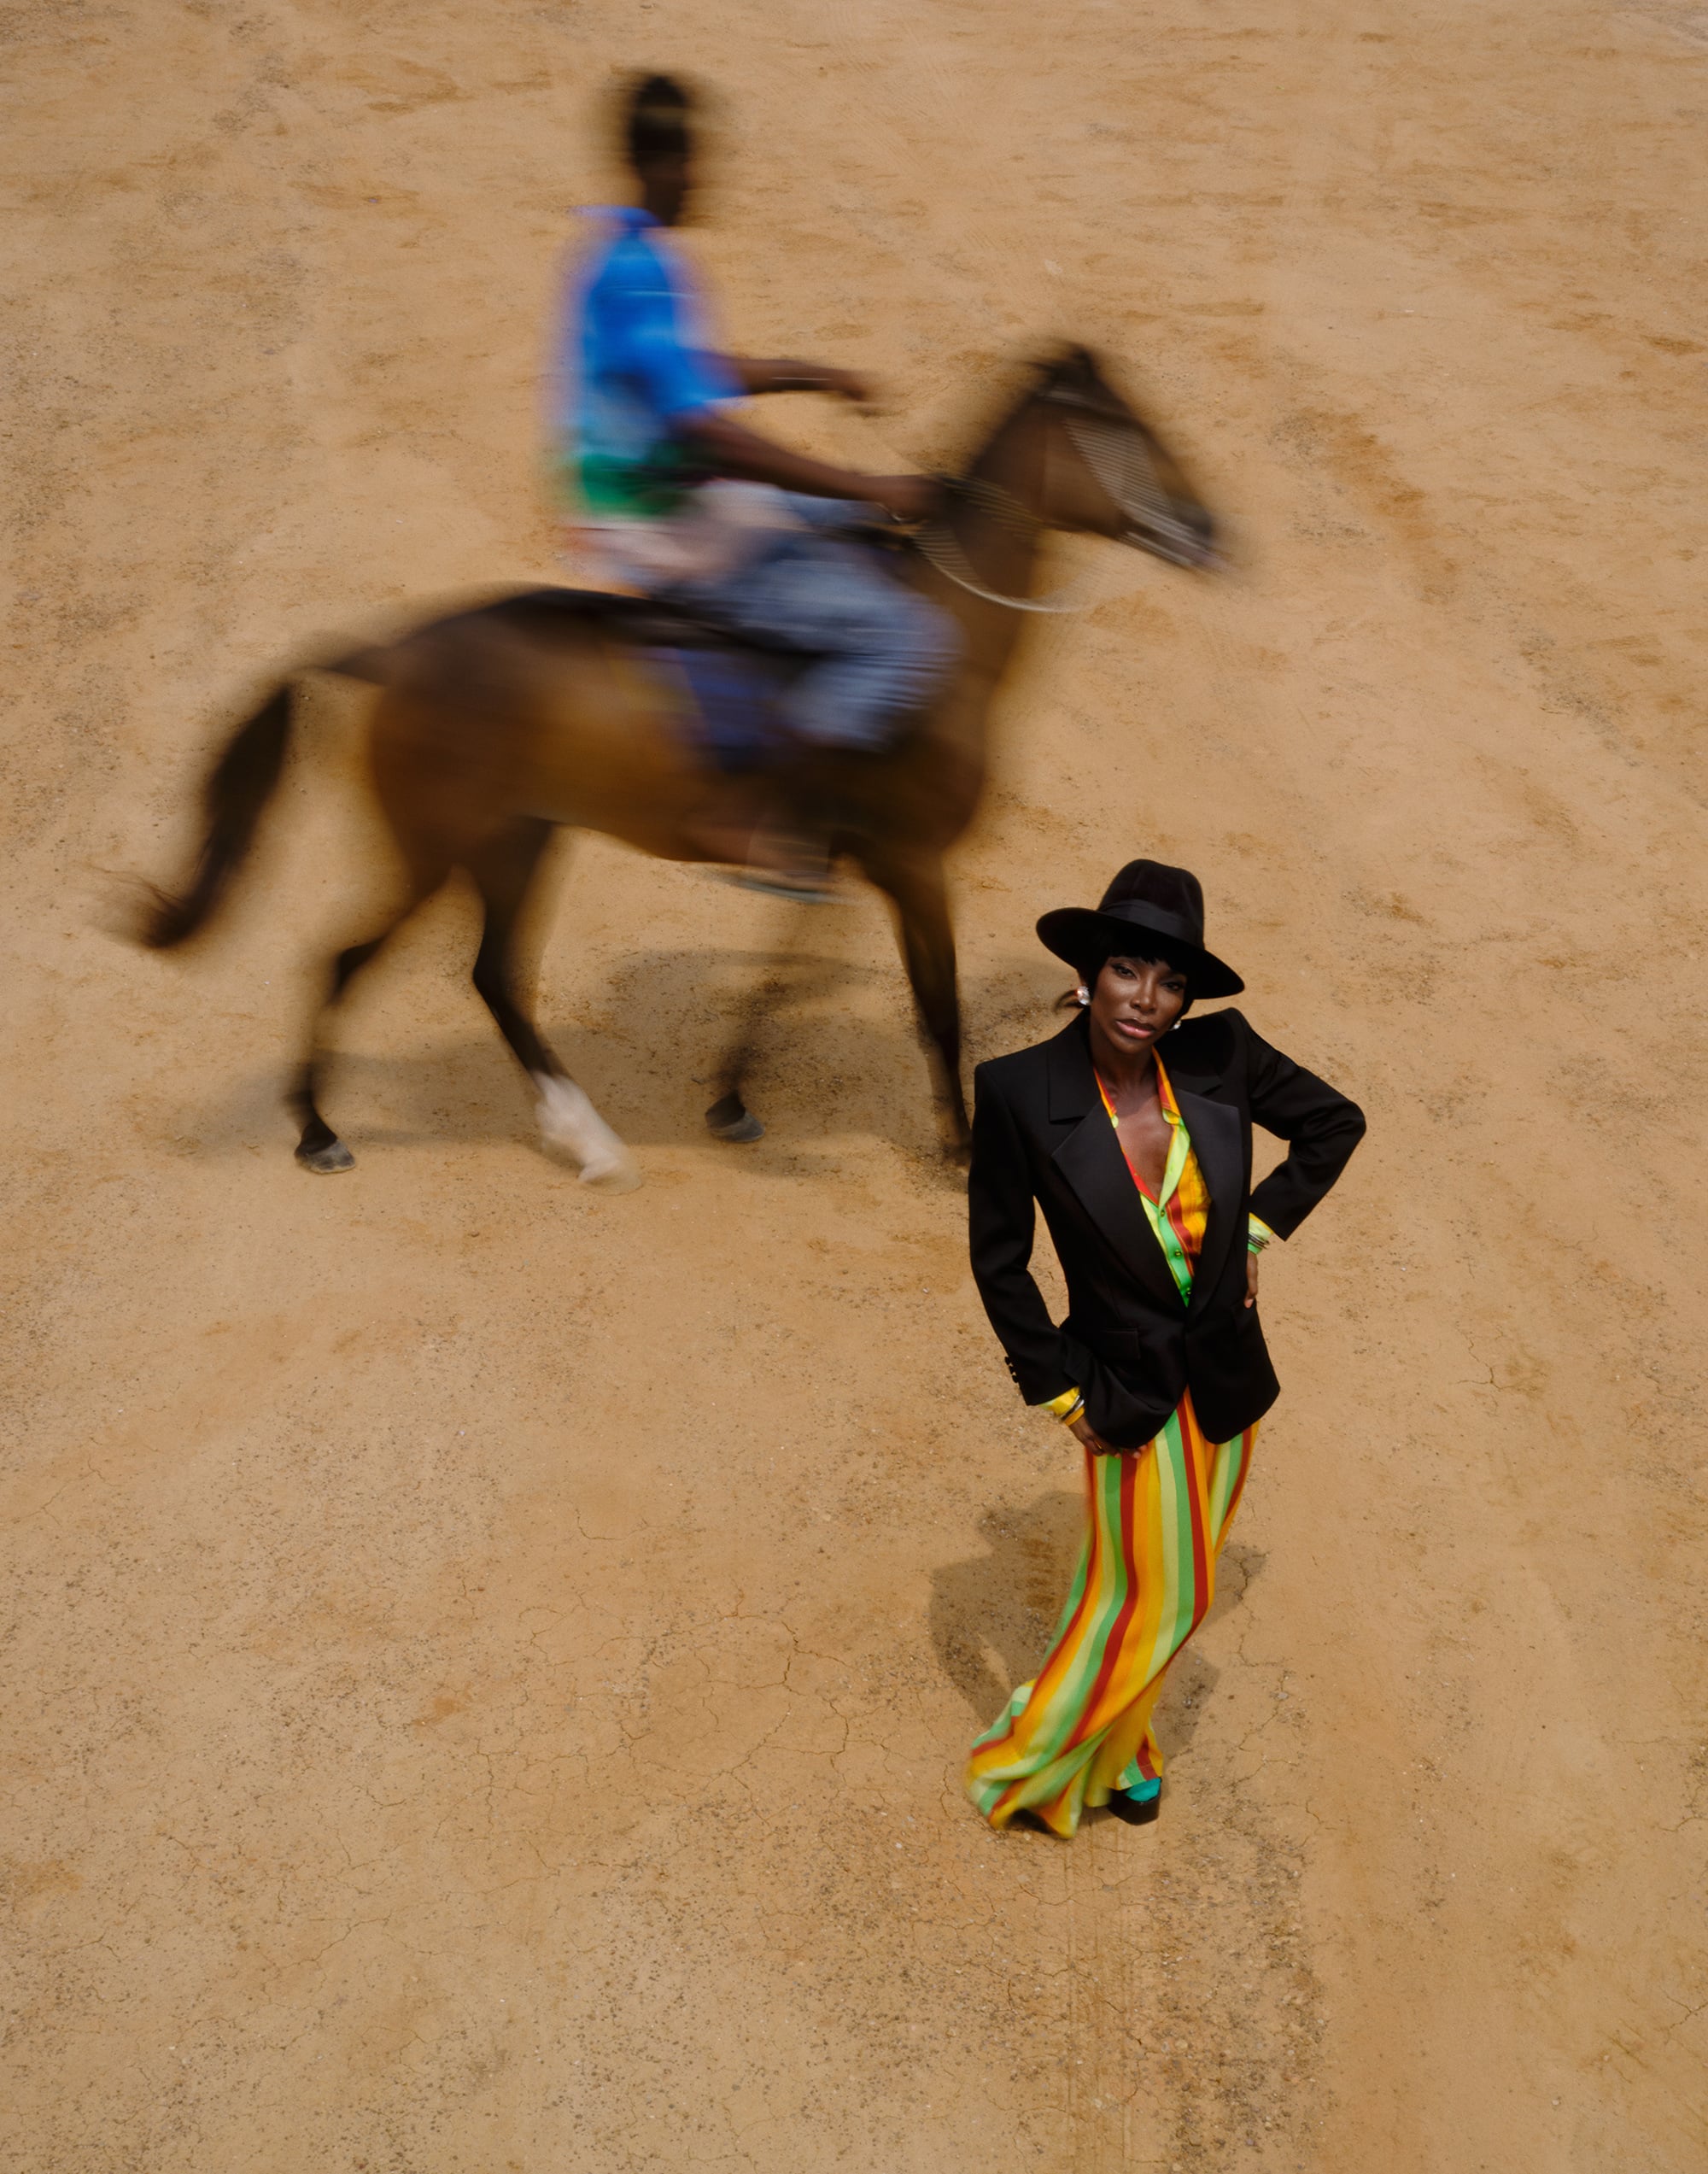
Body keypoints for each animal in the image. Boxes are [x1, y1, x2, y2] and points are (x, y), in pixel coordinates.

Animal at [140, 345, 1216, 1191]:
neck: (945, 638)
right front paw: (960, 1154)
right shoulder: (914, 865)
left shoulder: (845, 861)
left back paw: (582, 1138)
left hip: (517, 841)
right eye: (1121, 427)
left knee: (489, 975)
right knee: (346, 959)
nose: (1208, 529)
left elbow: (781, 972)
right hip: (435, 847)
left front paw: (731, 1097)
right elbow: (936, 1008)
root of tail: (392, 652)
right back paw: (324, 1128)